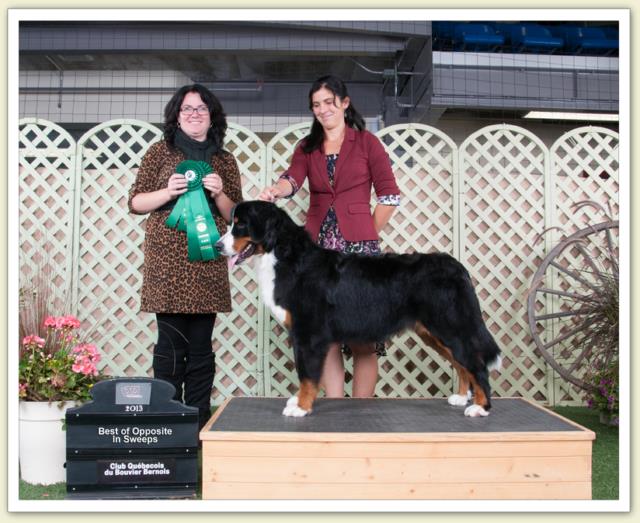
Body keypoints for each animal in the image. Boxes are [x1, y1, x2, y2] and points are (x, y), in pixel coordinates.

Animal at [218, 201, 502, 418]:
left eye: (240, 225)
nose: (218, 246)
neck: (283, 255)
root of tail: (456, 265)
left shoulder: (308, 334)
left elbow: (307, 374)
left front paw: (301, 407)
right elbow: (306, 374)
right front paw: (298, 401)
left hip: (450, 326)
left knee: (475, 364)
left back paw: (480, 407)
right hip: (434, 332)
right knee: (461, 363)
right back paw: (462, 397)